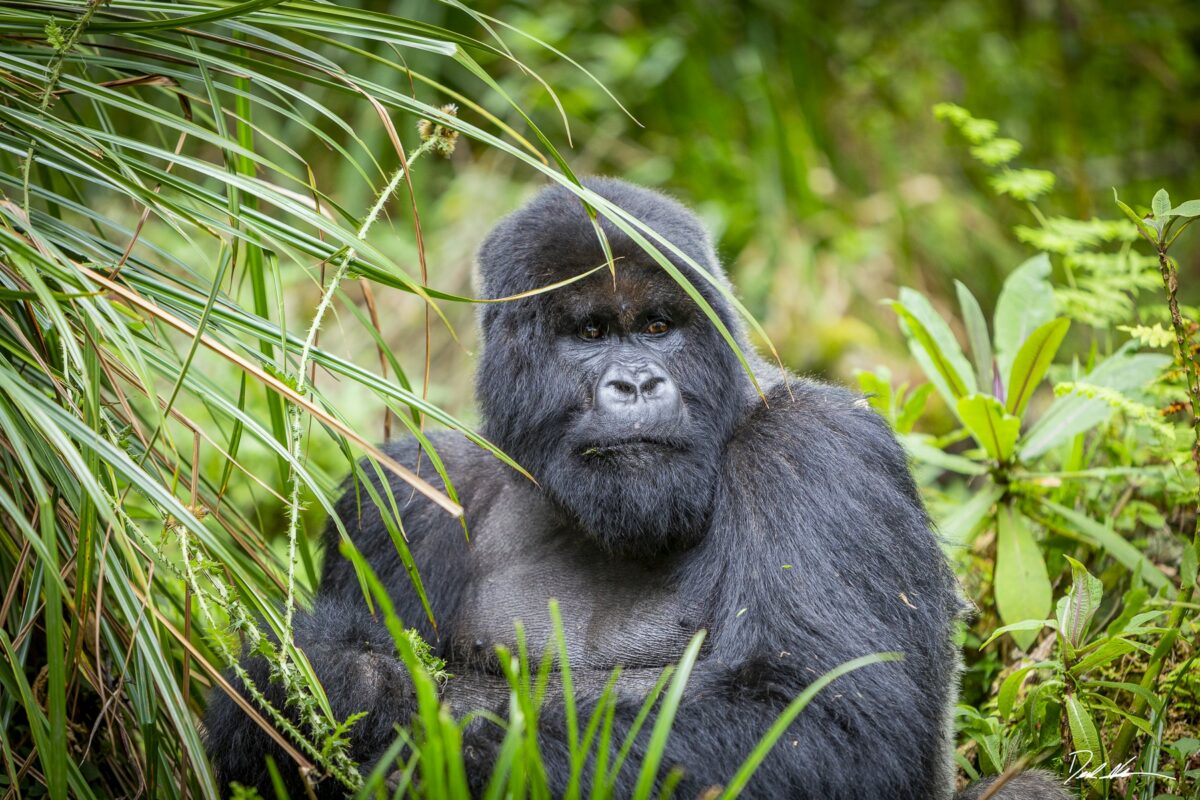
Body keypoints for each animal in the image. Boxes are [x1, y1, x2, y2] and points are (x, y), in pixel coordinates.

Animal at [206, 178, 1070, 796]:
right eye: (591, 333)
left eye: (657, 326)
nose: (637, 382)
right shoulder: (402, 492)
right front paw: (329, 684)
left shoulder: (824, 451)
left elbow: (829, 720)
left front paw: (405, 718)